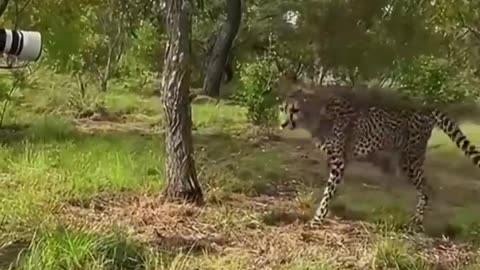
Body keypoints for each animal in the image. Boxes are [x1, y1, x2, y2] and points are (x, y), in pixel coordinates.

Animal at [278, 80, 480, 230]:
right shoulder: (333, 160)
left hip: (410, 160)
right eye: (283, 109)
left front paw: (317, 219)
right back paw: (390, 216)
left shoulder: (339, 162)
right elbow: (327, 190)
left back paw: (417, 223)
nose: (282, 124)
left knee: (427, 188)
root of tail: (424, 106)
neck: (318, 116)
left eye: (295, 110)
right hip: (393, 160)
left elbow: (328, 193)